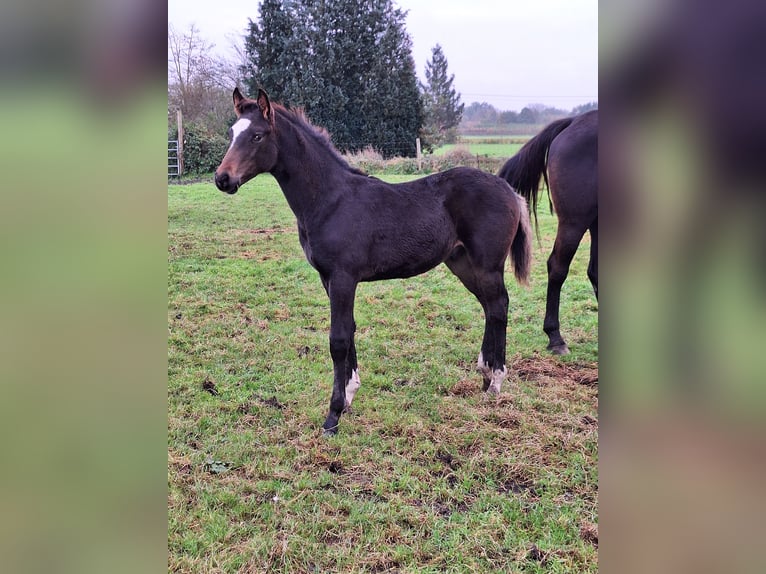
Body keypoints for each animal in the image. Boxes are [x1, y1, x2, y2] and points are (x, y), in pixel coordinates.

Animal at [213, 88, 532, 434]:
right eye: (231, 133)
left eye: (257, 136)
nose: (222, 179)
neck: (330, 200)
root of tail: (508, 189)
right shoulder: (328, 278)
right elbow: (349, 329)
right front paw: (350, 393)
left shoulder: (343, 277)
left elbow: (338, 339)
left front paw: (333, 414)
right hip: (462, 263)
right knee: (489, 307)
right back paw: (485, 375)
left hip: (487, 265)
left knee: (498, 306)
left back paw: (496, 381)